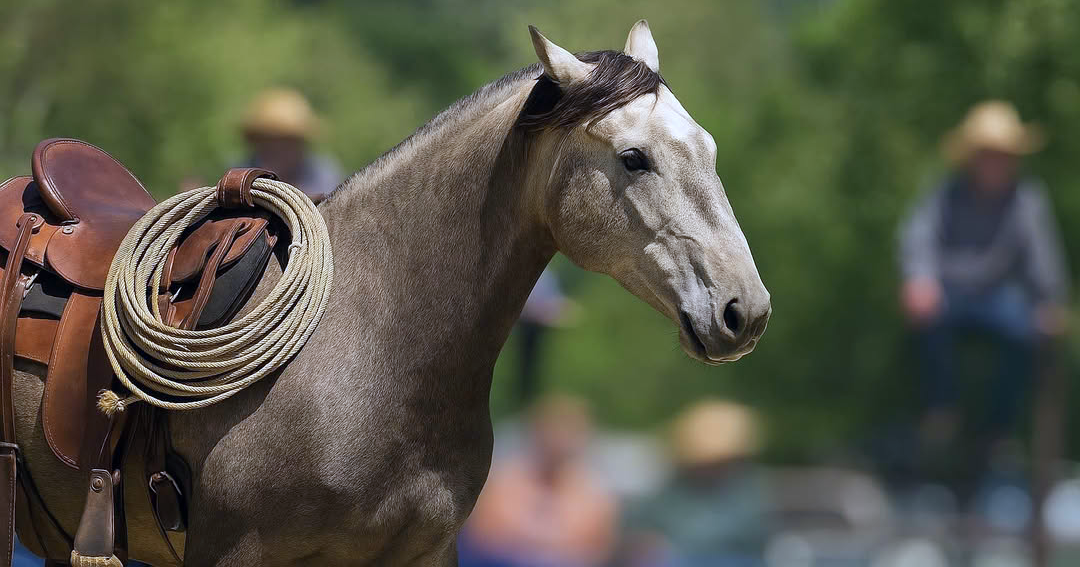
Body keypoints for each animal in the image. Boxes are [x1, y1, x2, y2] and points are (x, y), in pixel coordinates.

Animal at [15, 20, 770, 566]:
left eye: (708, 149)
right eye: (633, 158)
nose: (745, 310)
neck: (371, 345)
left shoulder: (424, 551)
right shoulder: (237, 551)